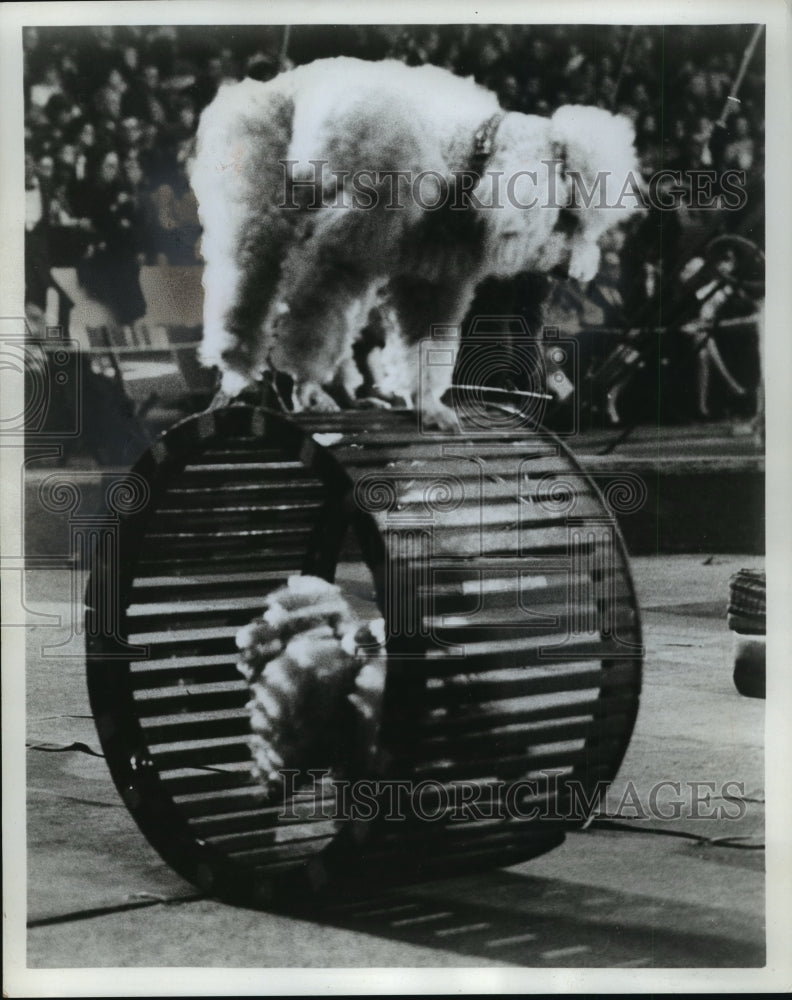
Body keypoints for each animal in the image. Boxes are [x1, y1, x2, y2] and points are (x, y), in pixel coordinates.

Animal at [192, 55, 644, 430]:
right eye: (568, 219)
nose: (575, 273)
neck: (465, 152)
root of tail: (273, 83)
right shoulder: (339, 251)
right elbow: (314, 321)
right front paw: (306, 387)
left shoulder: (433, 279)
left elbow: (425, 339)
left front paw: (427, 404)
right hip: (258, 191)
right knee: (249, 285)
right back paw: (238, 373)